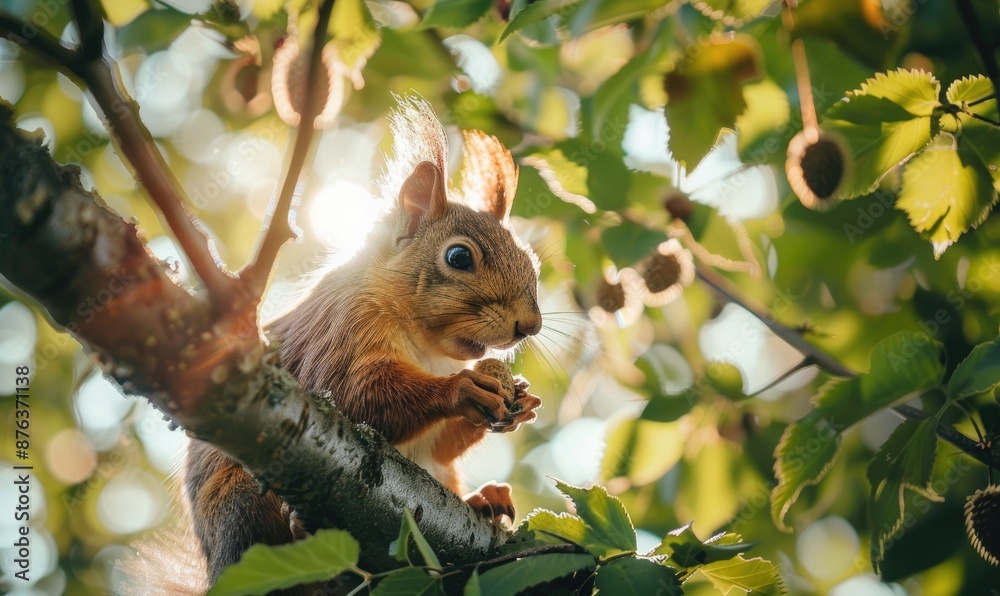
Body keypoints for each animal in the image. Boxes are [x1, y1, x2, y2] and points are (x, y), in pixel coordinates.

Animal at [182, 97, 544, 588]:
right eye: (458, 257)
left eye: (531, 259)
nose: (531, 325)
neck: (428, 347)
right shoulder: (342, 330)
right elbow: (358, 394)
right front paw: (465, 388)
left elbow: (439, 444)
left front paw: (519, 402)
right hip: (238, 502)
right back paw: (302, 526)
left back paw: (482, 501)